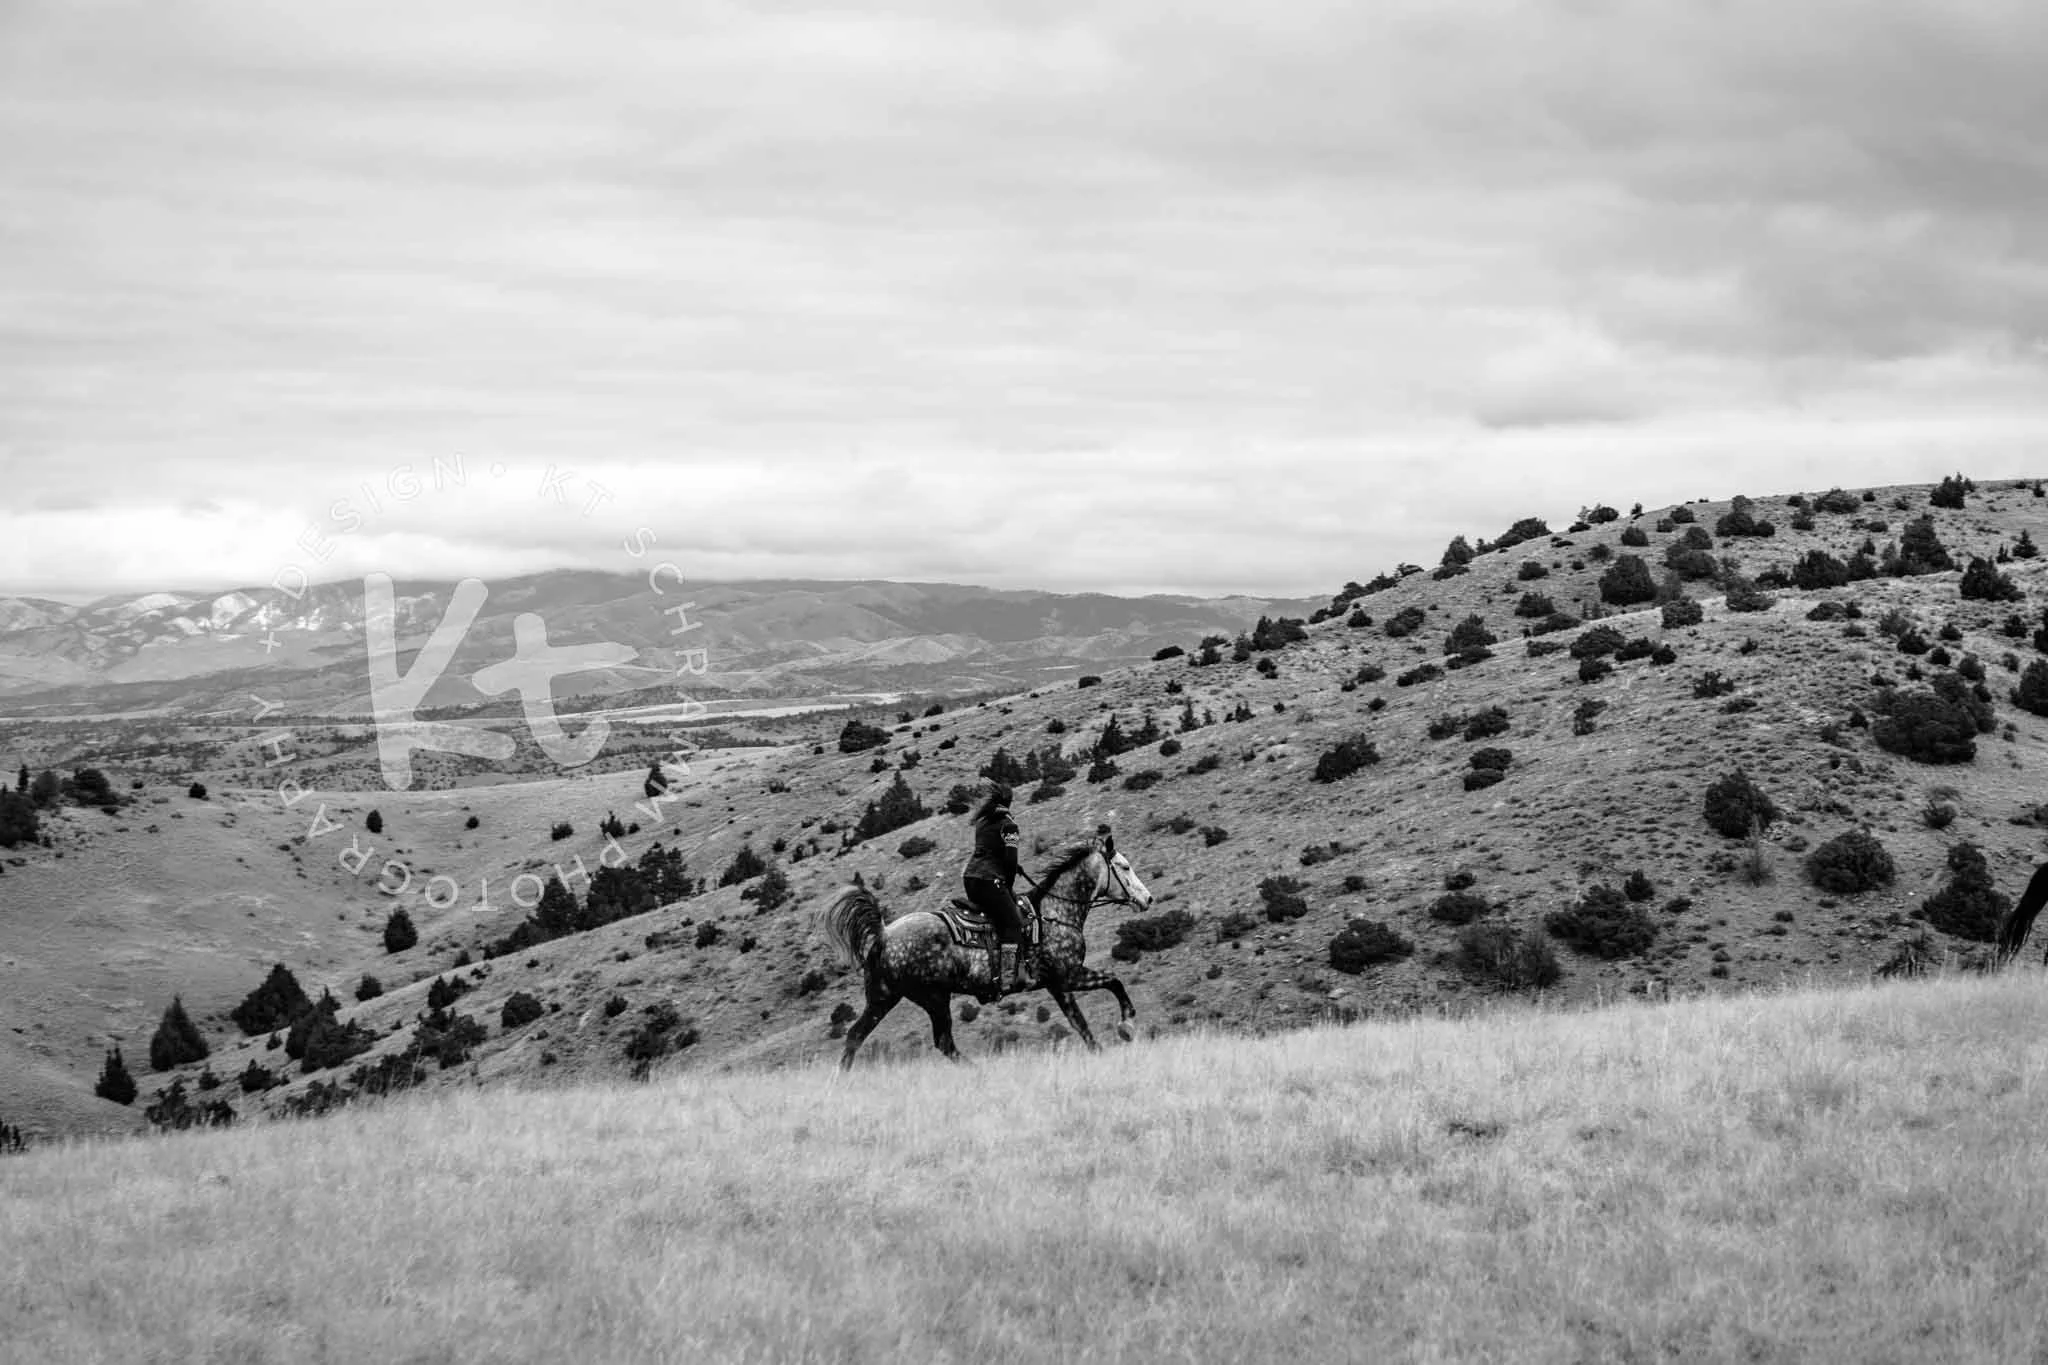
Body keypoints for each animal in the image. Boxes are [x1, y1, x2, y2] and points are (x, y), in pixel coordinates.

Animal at [814, 826, 1151, 1069]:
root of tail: (883, 934)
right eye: (1124, 867)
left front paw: (1107, 1043)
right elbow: (1110, 986)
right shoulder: (1068, 975)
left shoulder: (1058, 984)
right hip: (934, 997)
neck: (1055, 913)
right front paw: (1126, 1026)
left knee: (856, 1036)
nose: (1147, 899)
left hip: (884, 997)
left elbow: (1082, 1020)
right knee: (943, 1041)